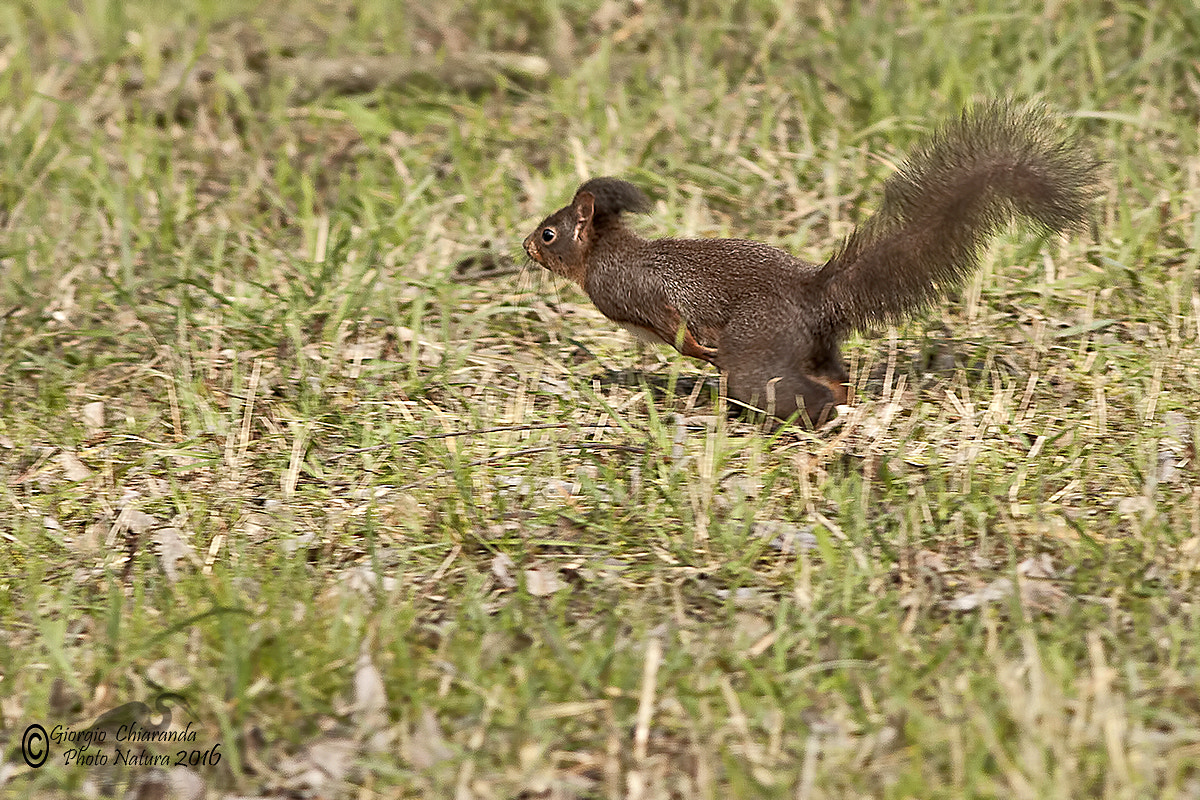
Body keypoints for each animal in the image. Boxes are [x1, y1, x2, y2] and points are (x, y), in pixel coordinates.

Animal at [520, 106, 1099, 424]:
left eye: (549, 234)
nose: (525, 247)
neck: (603, 252)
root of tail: (813, 294)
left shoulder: (634, 293)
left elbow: (678, 330)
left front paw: (700, 351)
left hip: (758, 348)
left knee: (790, 389)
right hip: (815, 347)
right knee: (837, 380)